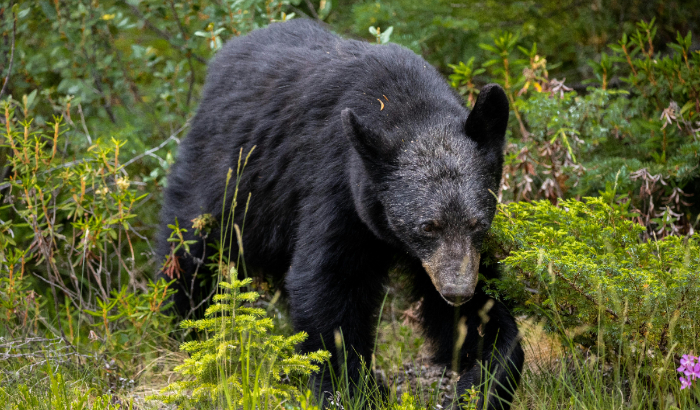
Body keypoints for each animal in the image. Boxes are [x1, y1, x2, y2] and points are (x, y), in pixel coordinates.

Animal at [157, 18, 520, 410]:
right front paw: (351, 388)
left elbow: (479, 314)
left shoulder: (453, 255)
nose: (457, 291)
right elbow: (329, 282)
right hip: (226, 179)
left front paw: (483, 379)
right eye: (427, 227)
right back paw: (185, 329)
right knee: (189, 250)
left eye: (478, 223)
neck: (406, 105)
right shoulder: (337, 186)